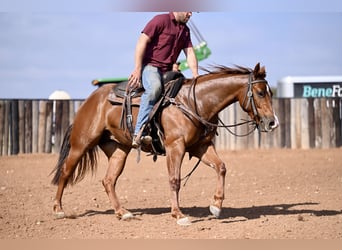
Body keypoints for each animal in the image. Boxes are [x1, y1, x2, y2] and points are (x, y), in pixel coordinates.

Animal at [52, 62, 280, 225]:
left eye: (270, 92)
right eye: (260, 92)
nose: (272, 122)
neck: (194, 102)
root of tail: (90, 100)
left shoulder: (201, 147)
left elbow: (221, 167)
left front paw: (216, 205)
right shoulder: (175, 147)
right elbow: (174, 180)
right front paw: (178, 215)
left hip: (119, 150)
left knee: (108, 180)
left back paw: (122, 212)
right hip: (81, 144)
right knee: (65, 171)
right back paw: (58, 209)